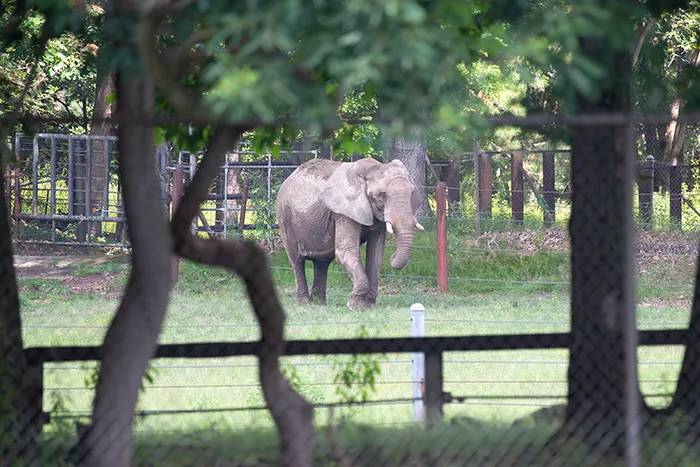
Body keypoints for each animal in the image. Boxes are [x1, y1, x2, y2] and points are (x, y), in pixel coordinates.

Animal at [275, 157, 424, 310]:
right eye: (382, 195)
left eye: (411, 192)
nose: (393, 256)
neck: (371, 168)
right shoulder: (343, 211)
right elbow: (345, 251)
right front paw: (354, 306)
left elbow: (376, 254)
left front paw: (368, 306)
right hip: (285, 217)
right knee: (296, 260)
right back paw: (304, 303)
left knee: (322, 262)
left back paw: (319, 303)